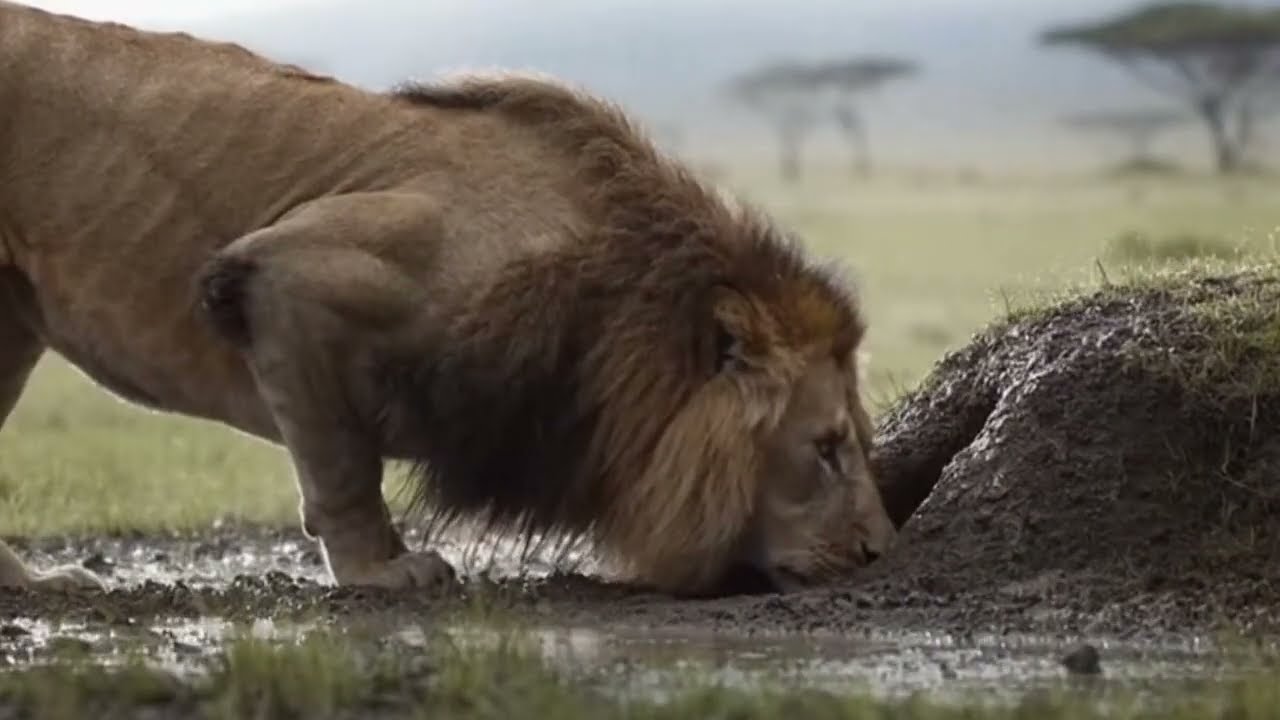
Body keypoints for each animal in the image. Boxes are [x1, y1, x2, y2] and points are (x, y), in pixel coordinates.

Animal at [0, 0, 896, 597]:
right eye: (825, 448)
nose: (881, 553)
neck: (615, 308)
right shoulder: (290, 274)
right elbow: (343, 464)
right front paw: (383, 572)